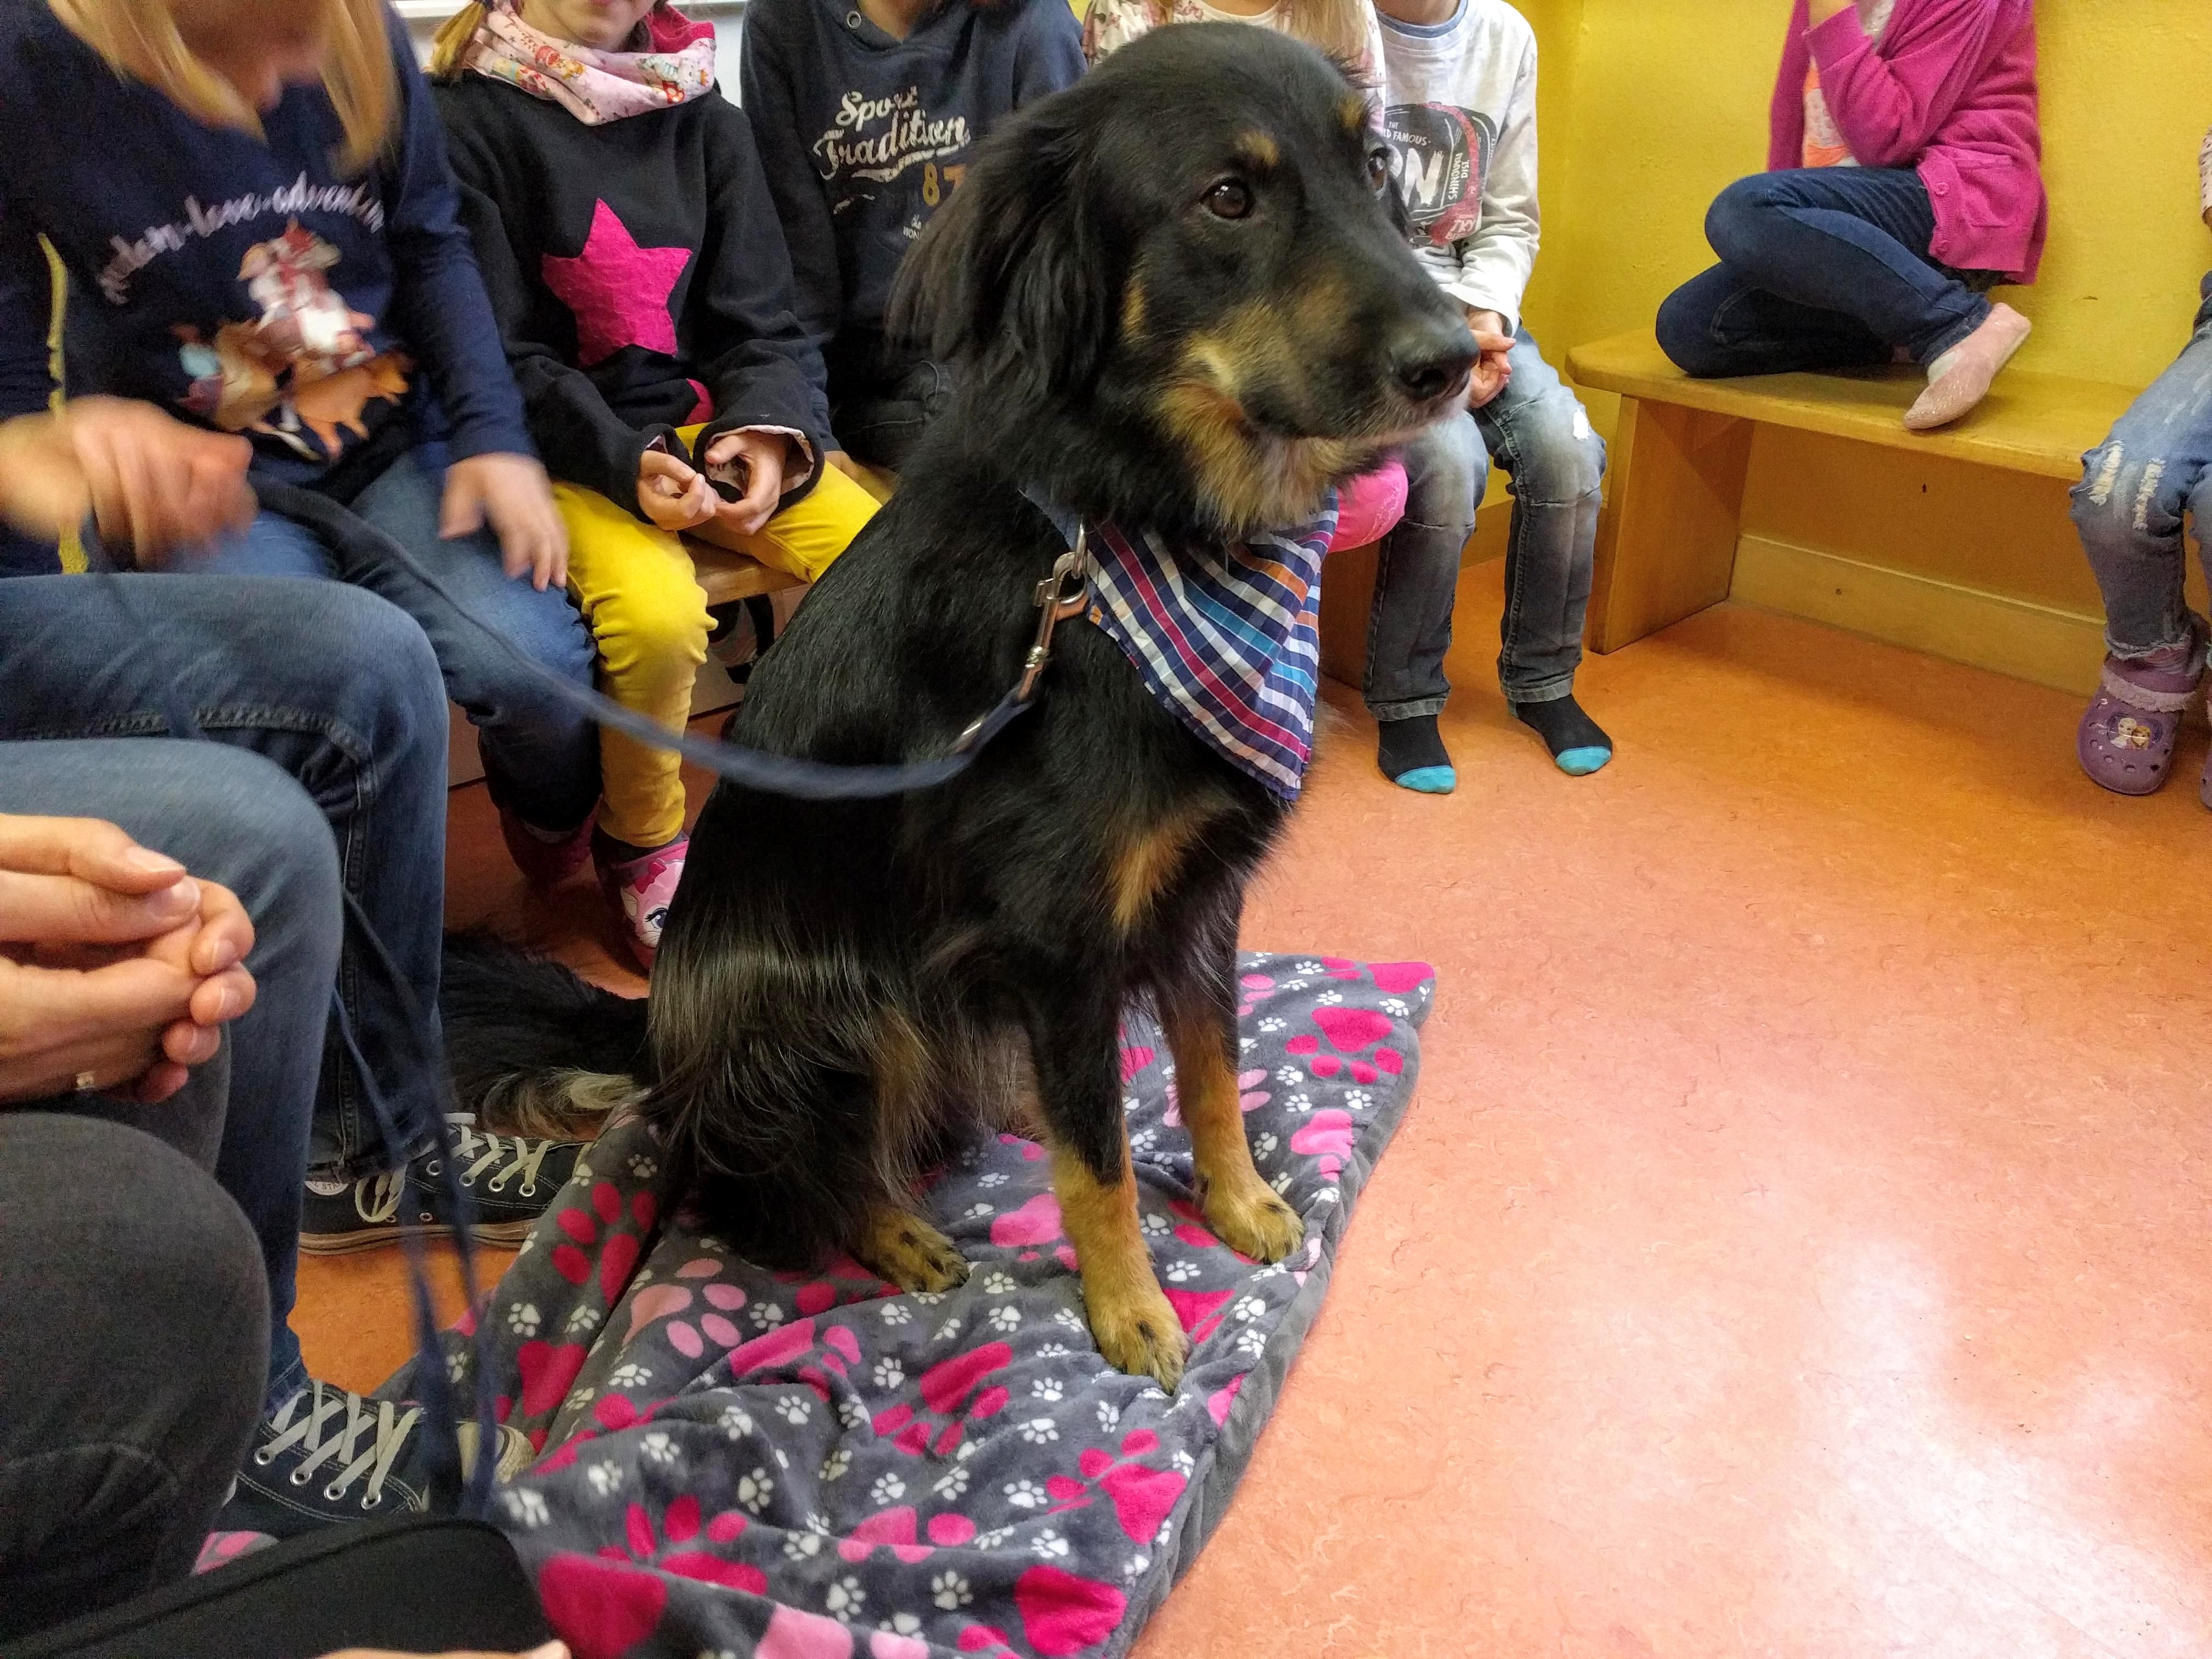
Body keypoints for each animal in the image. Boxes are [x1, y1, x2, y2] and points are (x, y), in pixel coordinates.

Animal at [447, 23, 1474, 1390]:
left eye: (1374, 168)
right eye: (1228, 198)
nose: (1458, 362)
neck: (1132, 537)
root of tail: (657, 1035)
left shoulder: (1200, 897)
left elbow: (1210, 1067)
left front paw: (1243, 1201)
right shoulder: (1060, 941)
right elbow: (1099, 1162)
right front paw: (1131, 1308)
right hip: (835, 1005)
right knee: (760, 1184)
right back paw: (887, 1229)